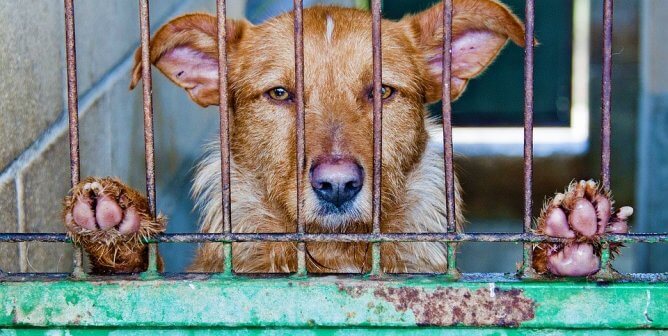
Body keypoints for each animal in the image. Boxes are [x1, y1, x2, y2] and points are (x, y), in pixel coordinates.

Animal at [61, 0, 632, 276]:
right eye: (280, 94)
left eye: (382, 91)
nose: (337, 185)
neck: (336, 257)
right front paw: (116, 233)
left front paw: (567, 244)